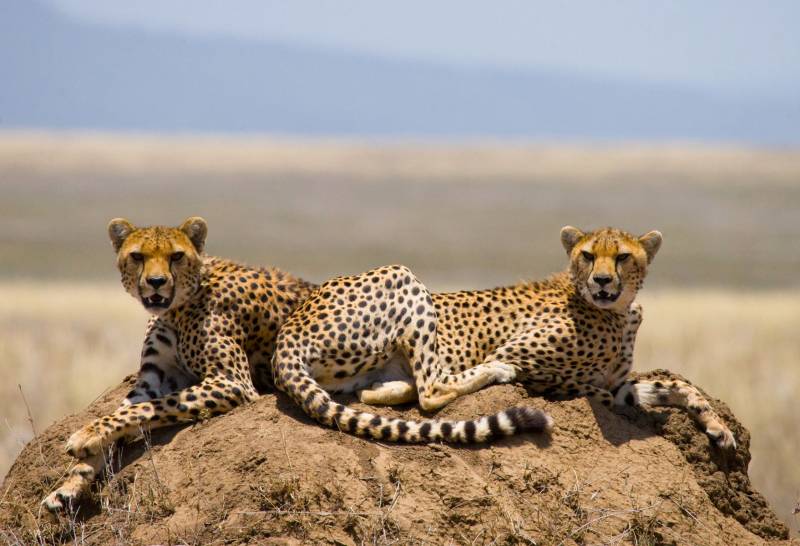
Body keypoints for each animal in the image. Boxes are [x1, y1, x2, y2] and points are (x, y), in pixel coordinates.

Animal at [41, 216, 316, 510]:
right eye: (137, 256)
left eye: (176, 256)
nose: (156, 281)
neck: (178, 307)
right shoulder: (154, 379)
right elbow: (124, 412)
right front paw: (70, 484)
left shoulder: (233, 382)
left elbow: (150, 408)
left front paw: (84, 436)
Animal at [272, 224, 736, 446]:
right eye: (588, 255)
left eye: (622, 257)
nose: (603, 281)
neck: (617, 311)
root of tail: (288, 330)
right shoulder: (542, 369)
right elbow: (590, 389)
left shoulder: (619, 384)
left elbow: (675, 387)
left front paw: (718, 429)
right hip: (400, 274)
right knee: (432, 390)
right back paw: (492, 372)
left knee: (383, 392)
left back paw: (387, 390)